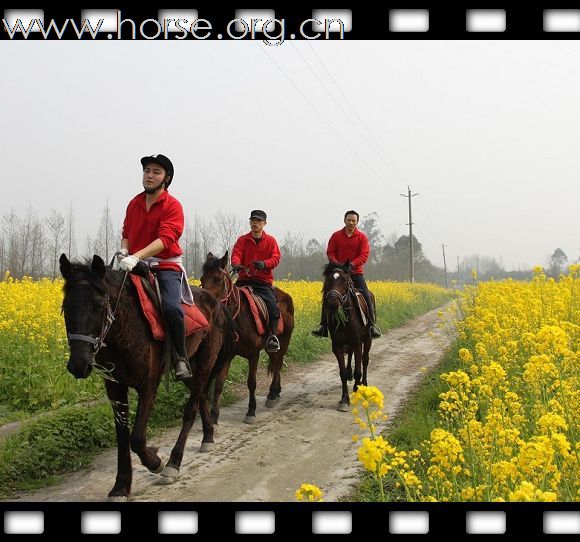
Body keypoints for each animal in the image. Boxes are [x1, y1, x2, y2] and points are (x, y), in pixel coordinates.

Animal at [57, 255, 233, 502]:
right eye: (66, 307)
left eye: (99, 305)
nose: (78, 365)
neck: (124, 326)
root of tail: (216, 302)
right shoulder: (114, 387)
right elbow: (122, 436)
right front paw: (121, 486)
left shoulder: (148, 383)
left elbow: (137, 438)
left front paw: (155, 460)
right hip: (189, 368)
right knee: (200, 397)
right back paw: (207, 435)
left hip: (206, 362)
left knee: (191, 408)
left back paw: (173, 463)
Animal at [201, 253, 294, 428]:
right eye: (202, 278)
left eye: (218, 279)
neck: (236, 317)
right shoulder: (228, 355)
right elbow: (219, 384)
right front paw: (214, 414)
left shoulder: (254, 355)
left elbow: (251, 382)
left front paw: (251, 411)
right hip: (271, 347)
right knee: (275, 363)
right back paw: (275, 393)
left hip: (284, 341)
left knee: (278, 363)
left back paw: (272, 395)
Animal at [322, 262, 372, 412]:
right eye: (328, 281)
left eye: (344, 280)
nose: (333, 303)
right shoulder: (337, 346)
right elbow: (342, 373)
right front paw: (344, 399)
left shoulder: (357, 343)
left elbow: (358, 370)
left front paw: (357, 389)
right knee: (350, 356)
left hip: (367, 339)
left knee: (365, 361)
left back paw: (364, 384)